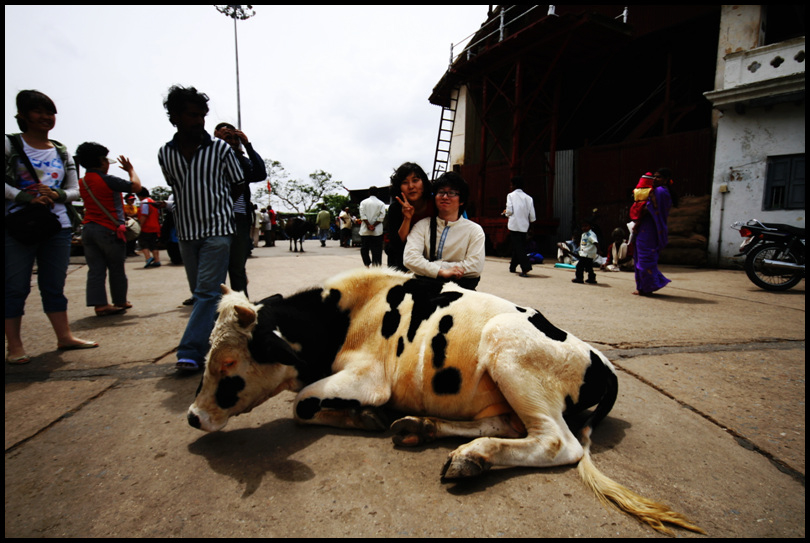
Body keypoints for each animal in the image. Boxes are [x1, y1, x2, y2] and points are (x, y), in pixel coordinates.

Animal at [188, 268, 700, 536]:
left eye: (229, 364)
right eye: (207, 356)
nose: (192, 417)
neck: (342, 315)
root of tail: (602, 359)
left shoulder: (369, 378)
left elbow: (302, 405)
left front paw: (364, 416)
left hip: (506, 346)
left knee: (559, 443)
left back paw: (469, 458)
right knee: (509, 427)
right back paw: (425, 429)